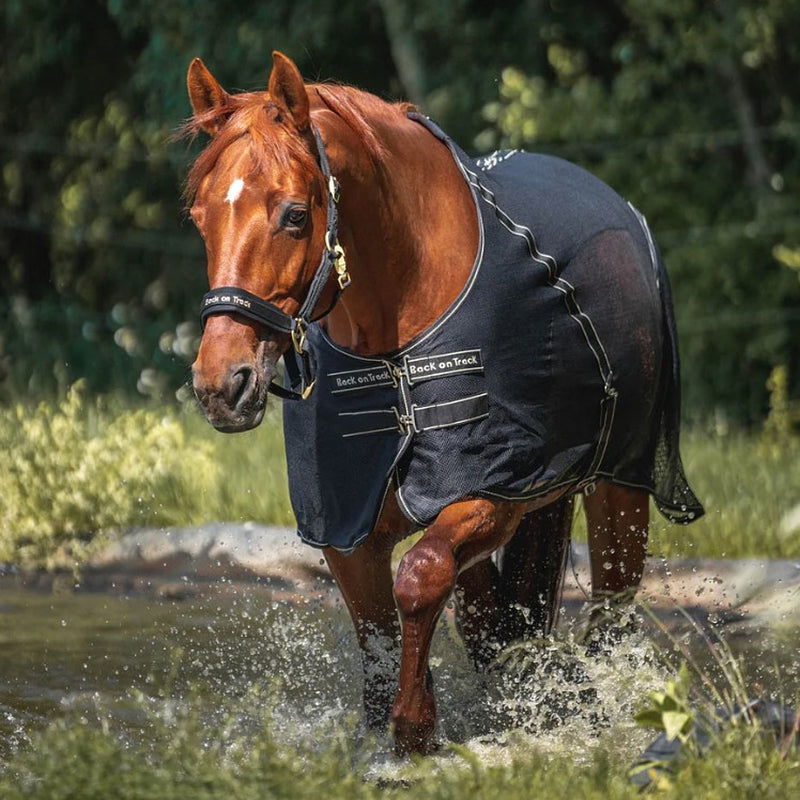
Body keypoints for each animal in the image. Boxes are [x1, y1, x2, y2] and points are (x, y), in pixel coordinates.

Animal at [185, 52, 703, 756]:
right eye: (200, 217)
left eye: (295, 214)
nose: (222, 384)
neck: (399, 336)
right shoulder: (346, 530)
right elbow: (382, 635)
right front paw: (389, 733)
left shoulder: (491, 493)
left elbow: (421, 575)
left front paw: (415, 730)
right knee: (490, 622)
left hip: (621, 487)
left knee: (609, 615)